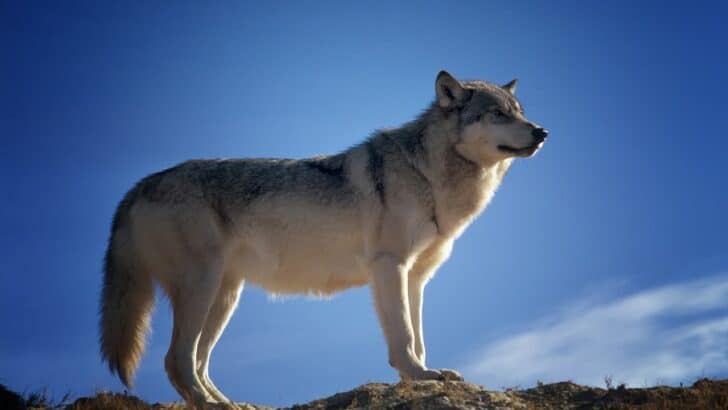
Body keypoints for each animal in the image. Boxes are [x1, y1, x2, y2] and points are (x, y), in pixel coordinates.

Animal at [99, 70, 548, 408]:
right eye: (497, 114)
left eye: (520, 113)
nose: (542, 132)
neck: (427, 174)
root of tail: (139, 185)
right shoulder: (389, 267)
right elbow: (403, 337)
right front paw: (418, 376)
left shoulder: (416, 277)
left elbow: (419, 337)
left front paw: (424, 376)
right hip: (202, 289)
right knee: (177, 360)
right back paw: (211, 405)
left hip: (225, 298)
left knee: (197, 362)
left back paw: (229, 403)